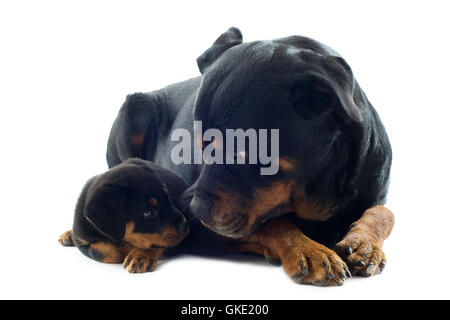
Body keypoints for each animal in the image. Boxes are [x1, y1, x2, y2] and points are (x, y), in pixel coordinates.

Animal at [58, 158, 188, 272]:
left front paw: (140, 255)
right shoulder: (81, 240)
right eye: (148, 212)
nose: (186, 226)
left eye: (168, 197)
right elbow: (105, 252)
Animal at [106, 28, 394, 288]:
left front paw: (364, 244)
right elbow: (271, 223)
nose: (196, 209)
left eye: (242, 151)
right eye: (197, 145)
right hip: (135, 111)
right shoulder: (193, 223)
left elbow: (384, 211)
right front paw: (307, 249)